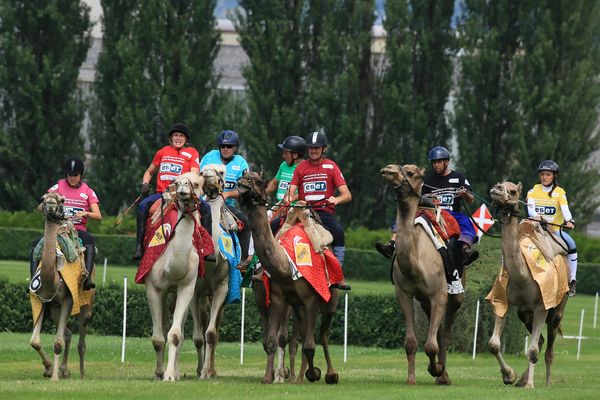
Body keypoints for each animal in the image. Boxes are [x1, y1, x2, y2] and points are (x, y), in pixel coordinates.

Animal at [29, 194, 94, 382]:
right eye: (43, 197)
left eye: (61, 200)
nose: (50, 203)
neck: (53, 279)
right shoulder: (42, 300)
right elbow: (35, 341)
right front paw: (49, 369)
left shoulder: (68, 299)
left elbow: (57, 343)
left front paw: (54, 377)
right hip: (54, 309)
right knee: (68, 333)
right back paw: (65, 370)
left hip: (86, 301)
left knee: (82, 333)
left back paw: (81, 373)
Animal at [144, 172, 205, 382]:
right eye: (177, 183)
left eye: (196, 183)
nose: (183, 192)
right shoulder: (153, 289)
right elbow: (157, 338)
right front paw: (159, 373)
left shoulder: (187, 287)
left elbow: (176, 335)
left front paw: (170, 375)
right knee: (162, 327)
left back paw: (177, 372)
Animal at [239, 170, 342, 386]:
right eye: (244, 175)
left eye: (259, 181)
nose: (241, 182)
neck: (286, 266)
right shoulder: (276, 298)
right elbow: (272, 341)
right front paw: (269, 377)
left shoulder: (310, 299)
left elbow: (306, 344)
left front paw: (299, 375)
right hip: (296, 305)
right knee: (301, 336)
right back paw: (302, 373)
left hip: (330, 299)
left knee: (322, 334)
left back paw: (328, 374)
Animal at [380, 163, 464, 384]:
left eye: (410, 173)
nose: (387, 169)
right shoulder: (405, 294)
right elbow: (411, 342)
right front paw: (411, 379)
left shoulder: (439, 295)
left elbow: (431, 345)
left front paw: (437, 370)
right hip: (425, 300)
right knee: (439, 332)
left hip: (455, 295)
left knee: (446, 333)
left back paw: (444, 375)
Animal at [488, 181, 568, 388]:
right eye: (500, 183)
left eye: (512, 191)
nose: (496, 188)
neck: (523, 276)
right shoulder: (503, 301)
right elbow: (494, 345)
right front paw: (509, 376)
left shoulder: (541, 306)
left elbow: (531, 351)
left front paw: (530, 385)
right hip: (524, 313)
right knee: (539, 340)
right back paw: (521, 380)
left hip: (557, 308)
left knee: (547, 348)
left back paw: (546, 383)